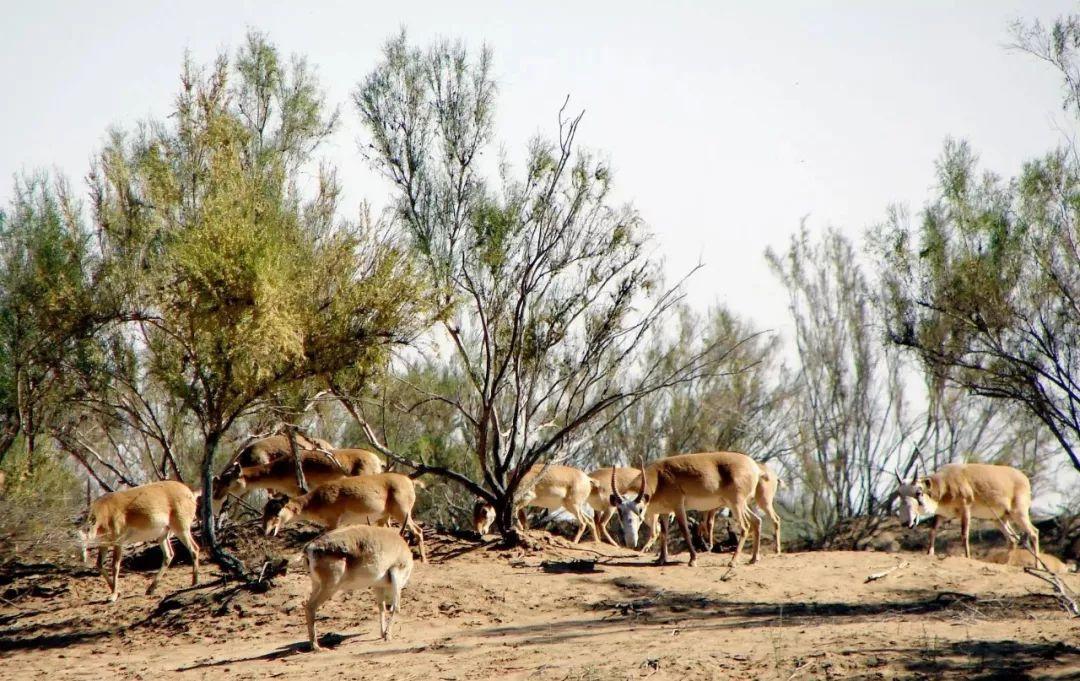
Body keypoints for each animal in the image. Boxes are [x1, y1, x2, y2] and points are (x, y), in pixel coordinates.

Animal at [261, 474, 425, 565]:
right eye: (265, 510)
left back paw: (424, 560)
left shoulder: (333, 523)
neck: (316, 499)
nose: (266, 531)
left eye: (277, 511)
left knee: (418, 530)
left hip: (402, 513)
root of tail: (409, 481)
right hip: (385, 517)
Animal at [613, 453, 764, 569]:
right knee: (757, 520)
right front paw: (661, 559)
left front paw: (693, 560)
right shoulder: (665, 512)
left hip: (736, 504)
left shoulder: (678, 507)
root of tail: (754, 467)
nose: (631, 541)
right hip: (739, 505)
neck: (659, 477)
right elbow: (664, 533)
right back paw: (753, 559)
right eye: (619, 510)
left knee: (745, 526)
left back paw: (733, 561)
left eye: (640, 509)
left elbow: (684, 530)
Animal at [894, 464, 1036, 561]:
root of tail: (1025, 479)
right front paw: (930, 553)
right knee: (1013, 539)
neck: (944, 484)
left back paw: (1037, 566)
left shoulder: (965, 509)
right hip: (999, 519)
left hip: (1019, 513)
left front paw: (967, 556)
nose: (906, 522)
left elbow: (964, 534)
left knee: (1033, 532)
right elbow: (932, 530)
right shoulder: (942, 514)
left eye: (918, 492)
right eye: (899, 493)